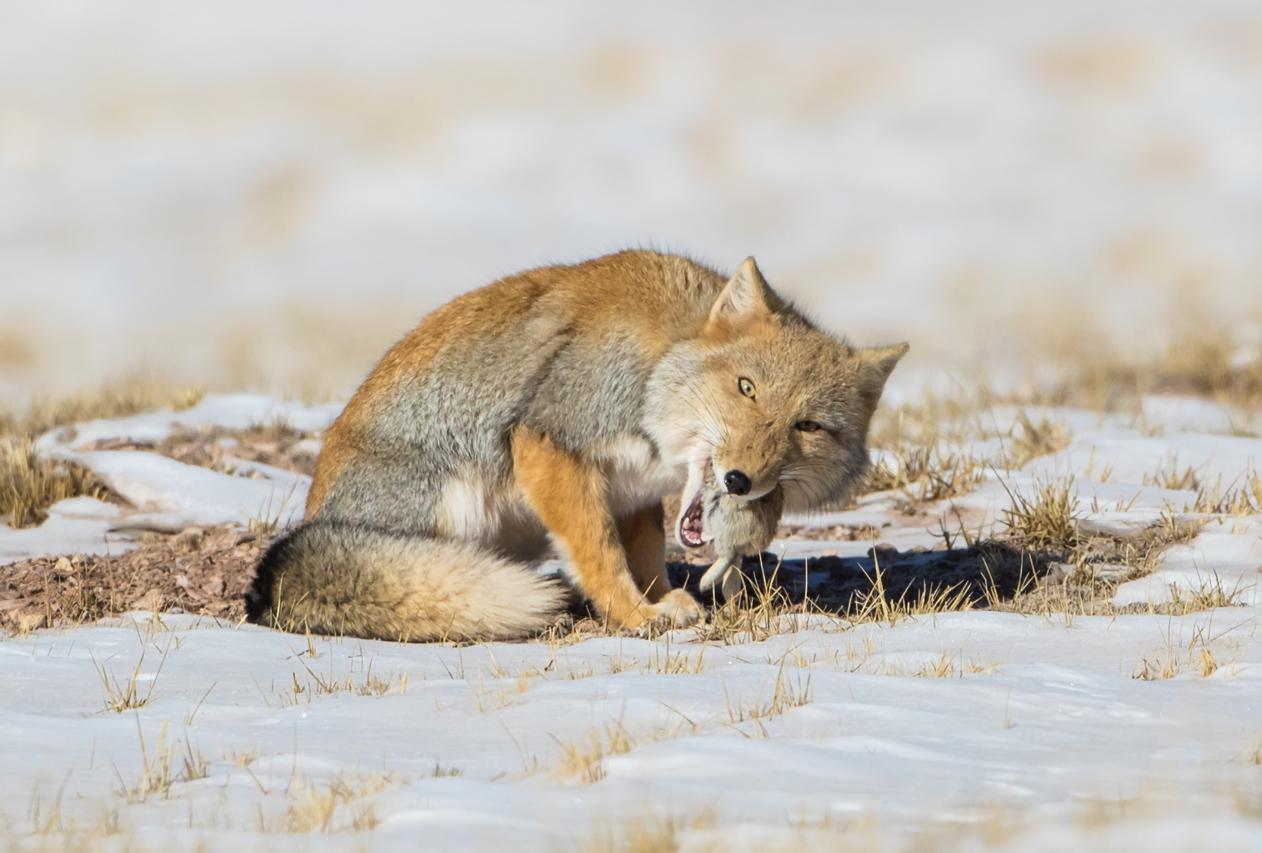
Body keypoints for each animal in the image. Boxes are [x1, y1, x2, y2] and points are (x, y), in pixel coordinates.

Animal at [241, 249, 903, 643]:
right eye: (747, 389)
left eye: (807, 426)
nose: (740, 480)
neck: (656, 363)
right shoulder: (551, 441)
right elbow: (599, 552)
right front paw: (634, 615)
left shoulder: (633, 491)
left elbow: (644, 556)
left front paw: (661, 600)